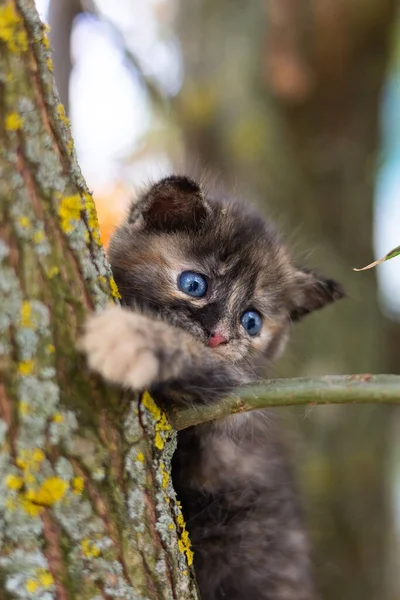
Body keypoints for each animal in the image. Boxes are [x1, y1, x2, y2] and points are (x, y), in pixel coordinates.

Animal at [81, 175, 344, 600]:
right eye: (194, 284)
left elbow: (189, 356)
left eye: (251, 321)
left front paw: (130, 337)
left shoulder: (235, 397)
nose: (219, 336)